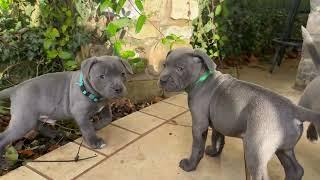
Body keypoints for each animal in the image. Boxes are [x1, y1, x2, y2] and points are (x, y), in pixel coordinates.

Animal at [0, 56, 132, 165]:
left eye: (122, 74)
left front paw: (96, 126)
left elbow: (107, 119)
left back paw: (55, 134)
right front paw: (94, 141)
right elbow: (87, 128)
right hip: (23, 121)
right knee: (4, 137)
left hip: (34, 116)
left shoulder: (104, 106)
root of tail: (14, 88)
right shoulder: (81, 114)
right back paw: (3, 162)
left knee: (38, 126)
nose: (118, 89)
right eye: (102, 76)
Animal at [161, 47, 320, 180]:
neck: (201, 79)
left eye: (180, 68)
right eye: (164, 65)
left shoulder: (199, 125)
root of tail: (294, 109)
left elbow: (197, 147)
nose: (162, 80)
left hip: (255, 150)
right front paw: (214, 152)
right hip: (284, 148)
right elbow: (217, 138)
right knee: (296, 170)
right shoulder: (219, 122)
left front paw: (190, 166)